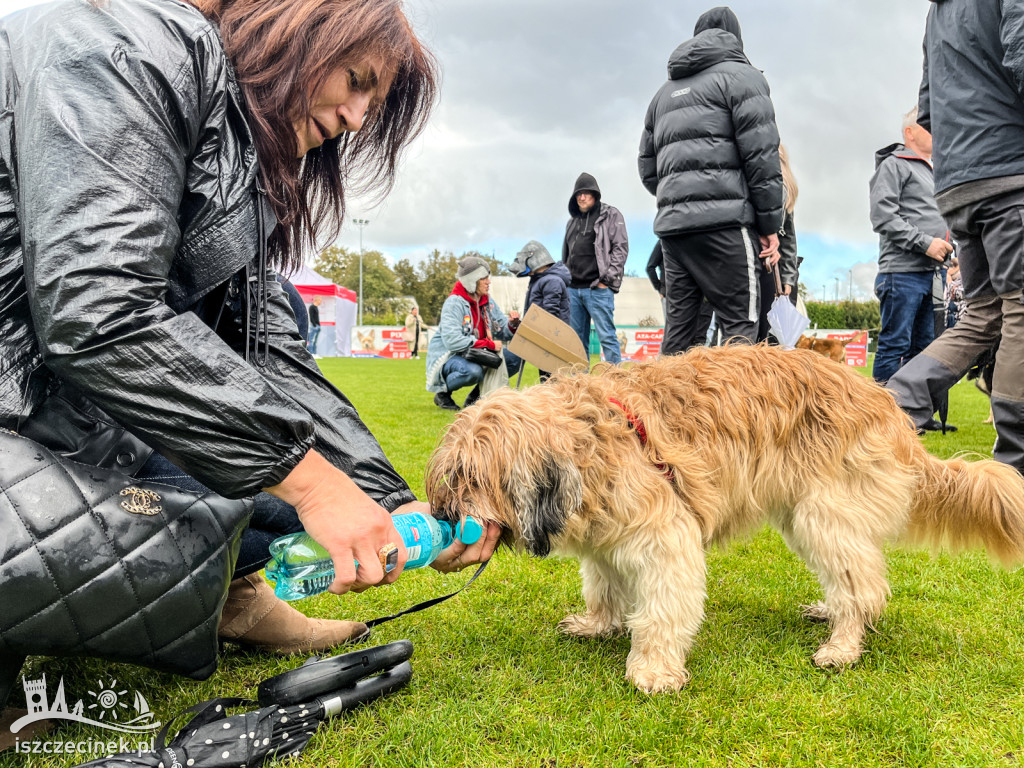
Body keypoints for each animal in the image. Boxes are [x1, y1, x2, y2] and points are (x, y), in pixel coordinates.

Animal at [423, 346, 1024, 696]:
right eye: (446, 481)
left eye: (467, 478)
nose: (442, 517)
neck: (589, 440)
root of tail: (887, 406)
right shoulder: (606, 540)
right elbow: (603, 586)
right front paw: (598, 624)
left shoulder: (663, 537)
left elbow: (661, 612)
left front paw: (654, 670)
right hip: (809, 515)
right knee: (856, 574)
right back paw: (829, 611)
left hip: (822, 514)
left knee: (863, 585)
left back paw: (842, 643)